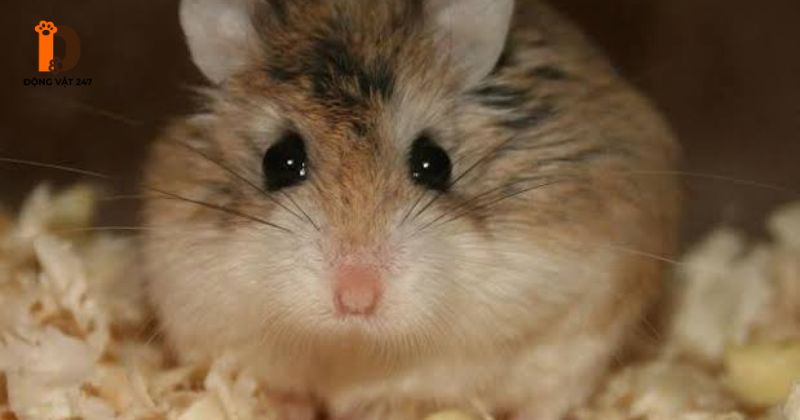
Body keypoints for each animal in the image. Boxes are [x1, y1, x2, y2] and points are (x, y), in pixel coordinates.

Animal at [141, 0, 680, 418]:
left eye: (434, 162)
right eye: (280, 161)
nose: (357, 298)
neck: (354, 343)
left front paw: (374, 407)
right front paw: (286, 407)